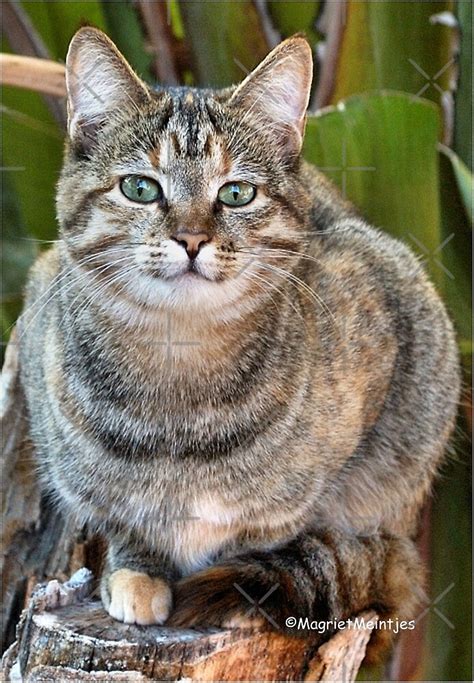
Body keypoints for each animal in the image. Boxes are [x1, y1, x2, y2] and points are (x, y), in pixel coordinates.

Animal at [17, 28, 460, 656]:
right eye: (139, 187)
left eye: (236, 194)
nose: (191, 238)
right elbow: (124, 517)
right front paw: (136, 572)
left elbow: (265, 527)